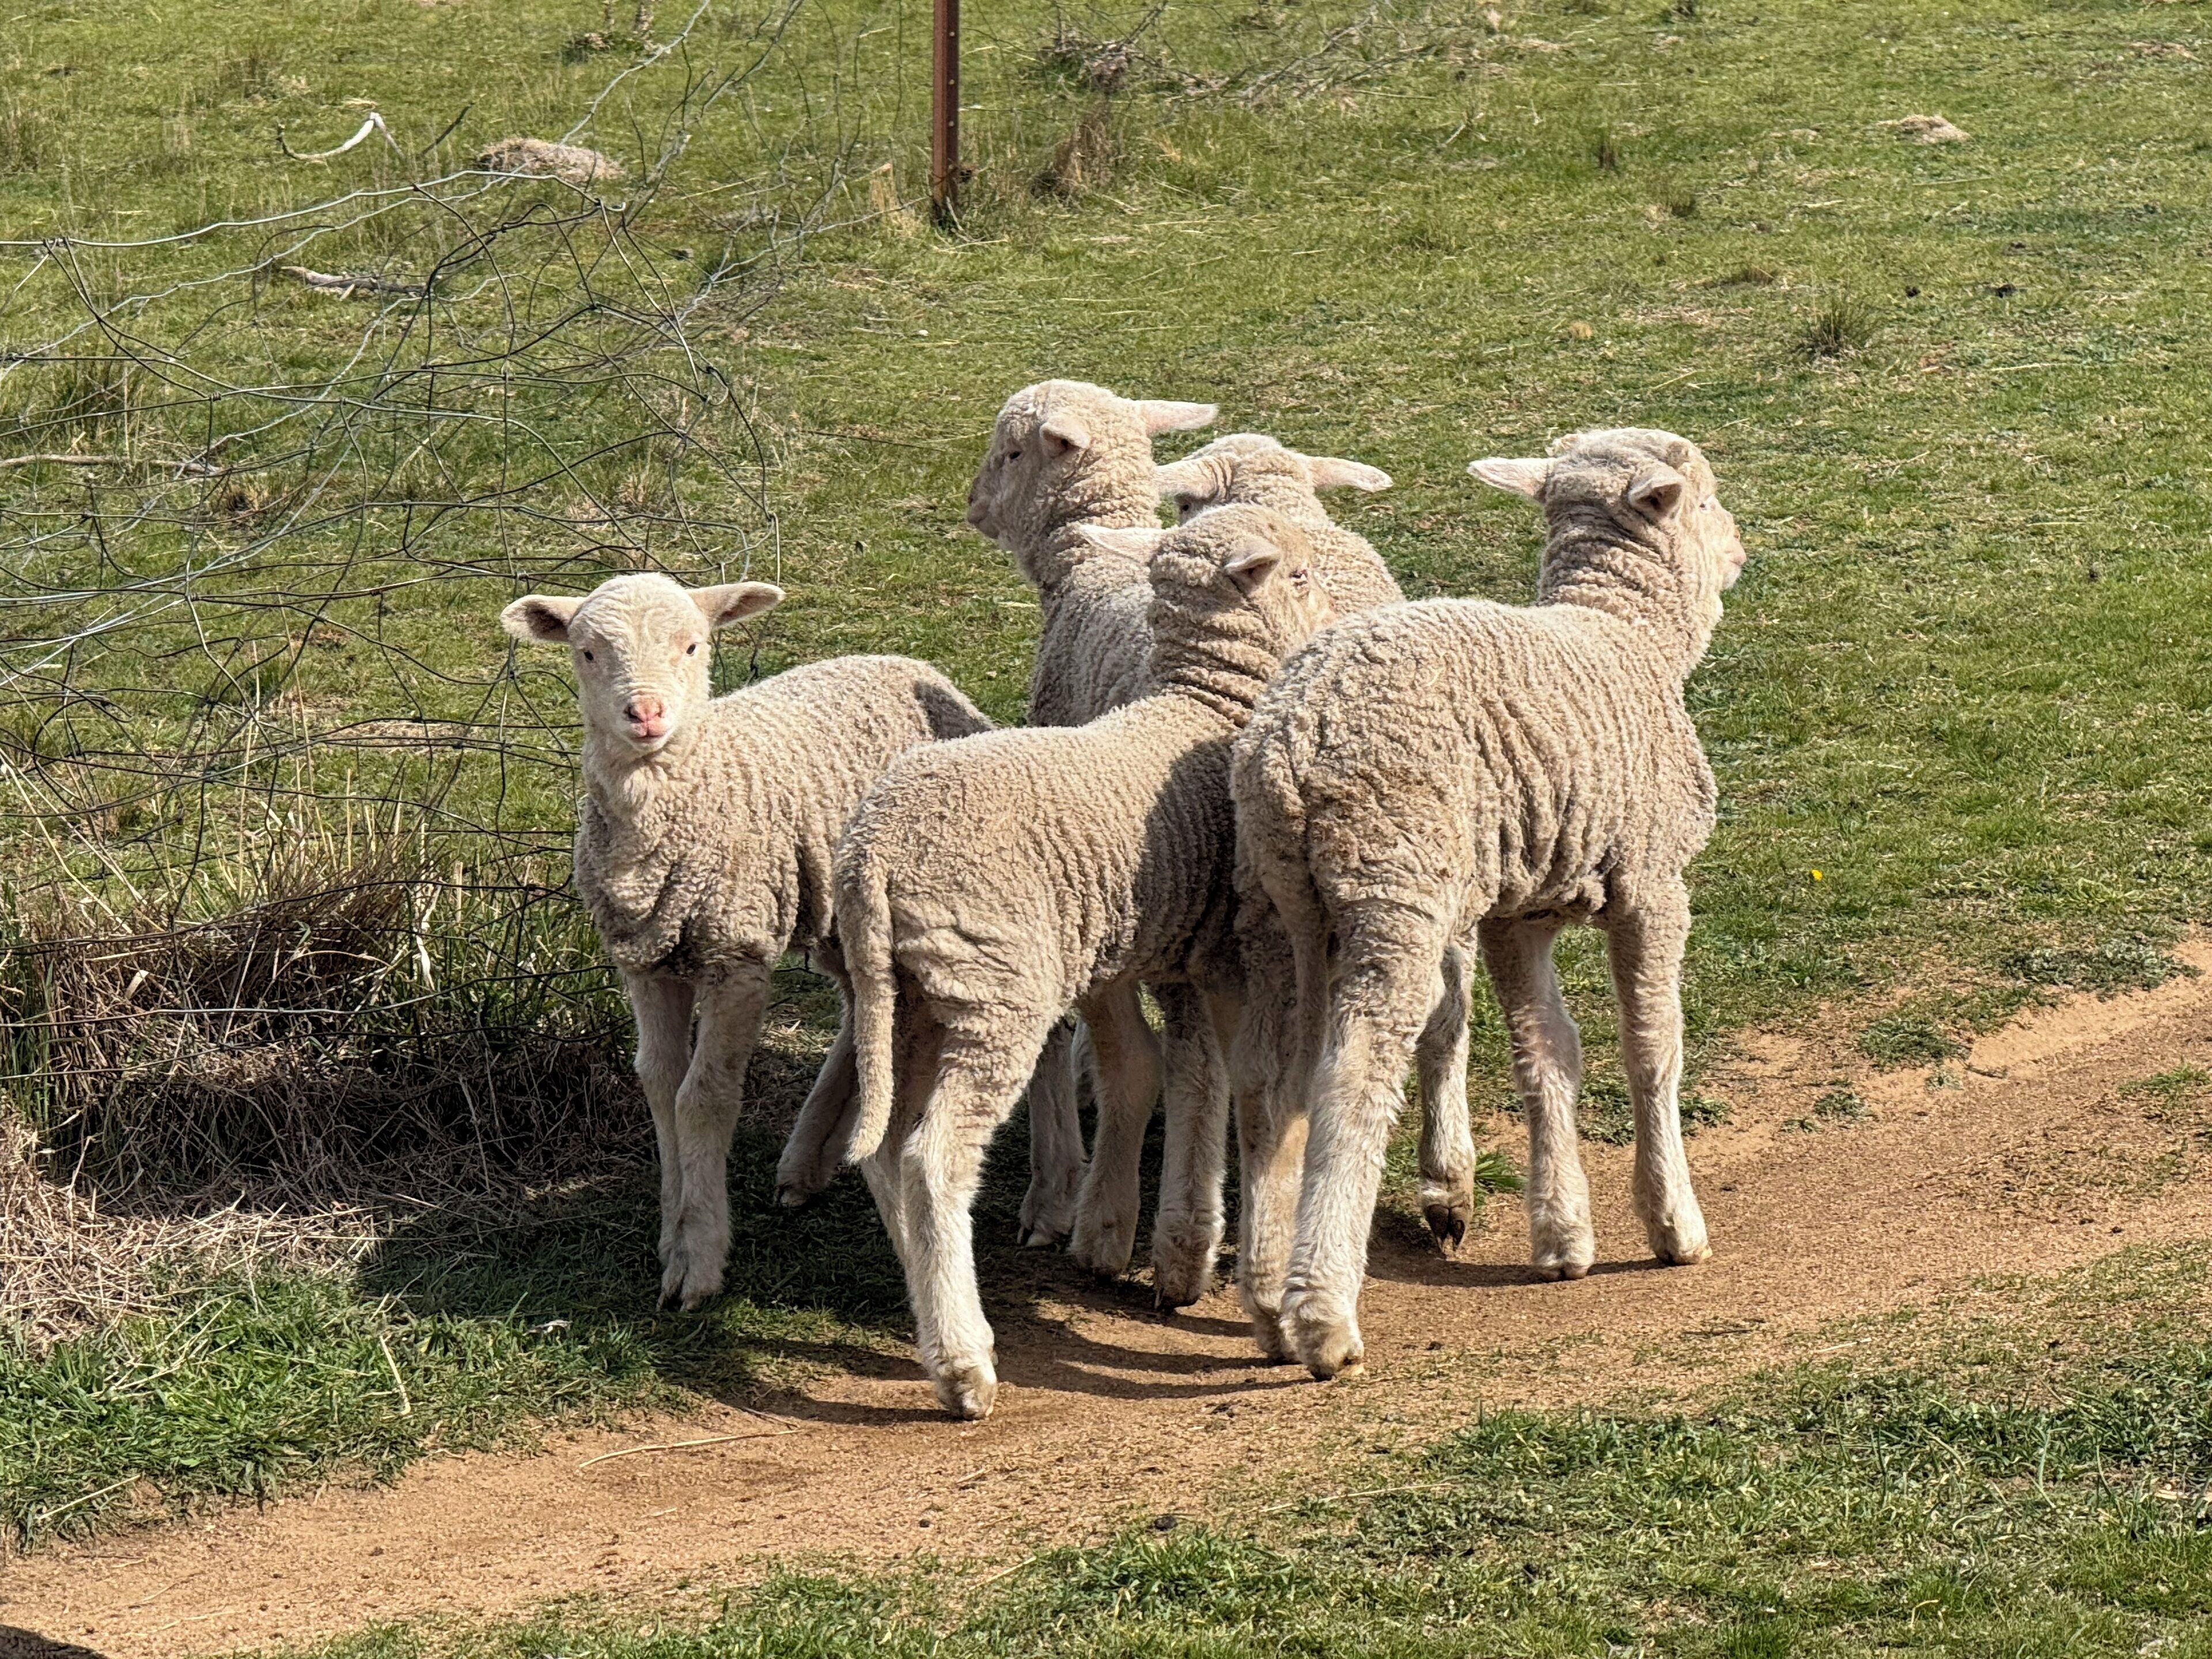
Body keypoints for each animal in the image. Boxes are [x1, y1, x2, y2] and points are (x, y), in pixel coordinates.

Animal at [499, 573, 991, 1310]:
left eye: (693, 645)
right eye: (587, 653)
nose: (645, 714)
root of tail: (913, 663)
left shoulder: (738, 956)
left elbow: (703, 1096)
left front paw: (699, 1258)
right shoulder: (645, 963)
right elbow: (659, 1083)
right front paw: (672, 1231)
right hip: (836, 912)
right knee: (858, 1012)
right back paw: (806, 1162)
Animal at [835, 503, 1339, 1419]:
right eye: (1299, 576)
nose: (1335, 620)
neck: (1205, 706)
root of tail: (872, 858)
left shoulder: (1161, 952)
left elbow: (1174, 1072)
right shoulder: (1244, 955)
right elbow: (1249, 1092)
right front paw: (1253, 1288)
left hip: (904, 995)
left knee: (886, 1154)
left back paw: (936, 1332)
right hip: (993, 987)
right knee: (932, 1159)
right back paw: (967, 1367)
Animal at [1231, 427, 1746, 1379]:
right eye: (1701, 498)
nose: (1737, 549)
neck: (1630, 634)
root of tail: (1291, 742)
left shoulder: (1521, 913)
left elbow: (1548, 1055)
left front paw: (1563, 1236)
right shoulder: (1653, 881)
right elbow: (1653, 1047)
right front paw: (1672, 1222)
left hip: (1278, 908)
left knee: (1269, 1084)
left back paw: (1268, 1304)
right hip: (1390, 880)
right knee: (1354, 1075)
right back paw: (1323, 1318)